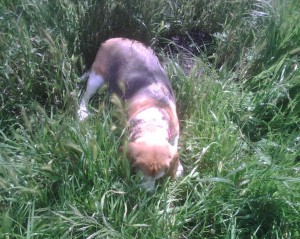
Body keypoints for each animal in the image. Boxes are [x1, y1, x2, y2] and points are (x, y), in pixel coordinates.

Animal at [78, 37, 183, 190]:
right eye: (140, 172)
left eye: (158, 177)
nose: (147, 192)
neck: (152, 123)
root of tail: (112, 39)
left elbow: (174, 145)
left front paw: (178, 168)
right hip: (96, 78)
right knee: (85, 96)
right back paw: (82, 112)